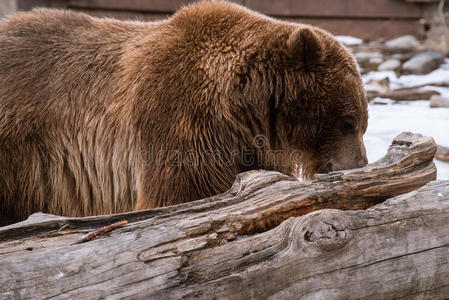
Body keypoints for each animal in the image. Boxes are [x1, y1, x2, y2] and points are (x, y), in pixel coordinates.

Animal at [0, 0, 366, 225]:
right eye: (348, 123)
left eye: (362, 123)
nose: (360, 164)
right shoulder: (182, 119)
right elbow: (181, 193)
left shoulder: (250, 148)